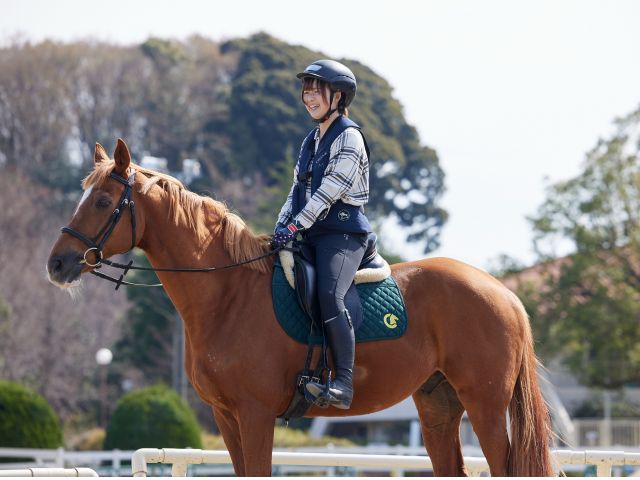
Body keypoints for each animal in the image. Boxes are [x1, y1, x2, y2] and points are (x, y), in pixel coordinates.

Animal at [46, 139, 553, 476]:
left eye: (104, 201)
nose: (57, 263)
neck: (228, 295)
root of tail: (504, 292)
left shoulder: (254, 414)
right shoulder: (227, 417)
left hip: (486, 406)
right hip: (438, 408)